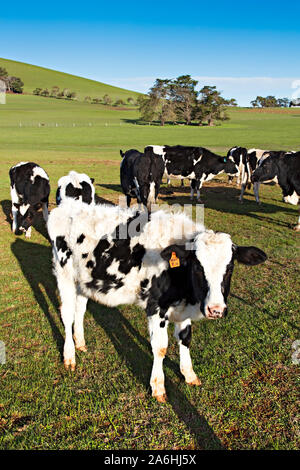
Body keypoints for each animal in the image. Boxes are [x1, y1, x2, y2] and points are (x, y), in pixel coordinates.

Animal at [47, 200, 268, 402]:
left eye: (230, 267)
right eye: (198, 266)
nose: (216, 309)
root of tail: (67, 206)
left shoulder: (181, 309)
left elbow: (185, 338)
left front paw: (189, 374)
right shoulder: (156, 307)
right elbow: (160, 347)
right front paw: (158, 386)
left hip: (84, 281)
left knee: (80, 310)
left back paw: (80, 343)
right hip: (64, 275)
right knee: (67, 314)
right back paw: (70, 356)